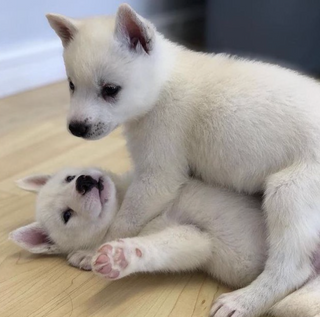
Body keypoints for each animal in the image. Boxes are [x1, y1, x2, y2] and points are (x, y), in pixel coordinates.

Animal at [8, 167, 320, 314]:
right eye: (66, 215)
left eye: (69, 177)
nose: (84, 181)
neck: (123, 199)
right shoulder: (195, 239)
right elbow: (159, 248)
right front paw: (120, 256)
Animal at [45, 4, 320, 316]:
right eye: (71, 85)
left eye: (110, 90)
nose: (75, 128)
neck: (164, 83)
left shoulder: (158, 174)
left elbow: (123, 221)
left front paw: (95, 251)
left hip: (290, 192)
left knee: (292, 269)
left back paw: (243, 301)